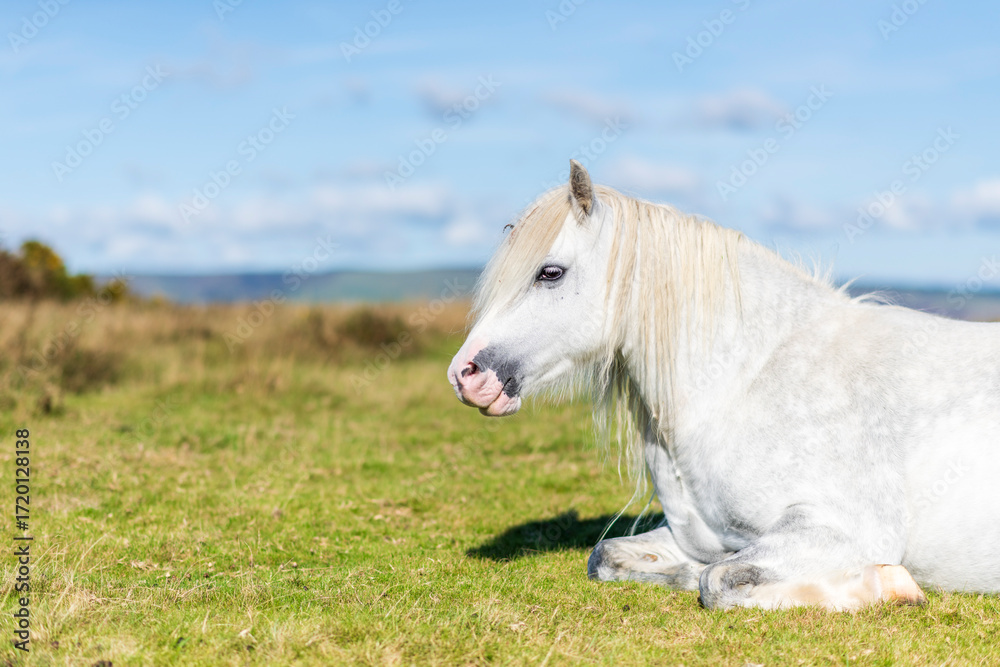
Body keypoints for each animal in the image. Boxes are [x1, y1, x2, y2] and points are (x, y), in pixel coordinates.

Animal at [447, 160, 1000, 610]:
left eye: (550, 272)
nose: (466, 375)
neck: (744, 384)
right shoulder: (697, 535)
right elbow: (611, 556)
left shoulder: (846, 529)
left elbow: (720, 582)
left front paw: (888, 587)